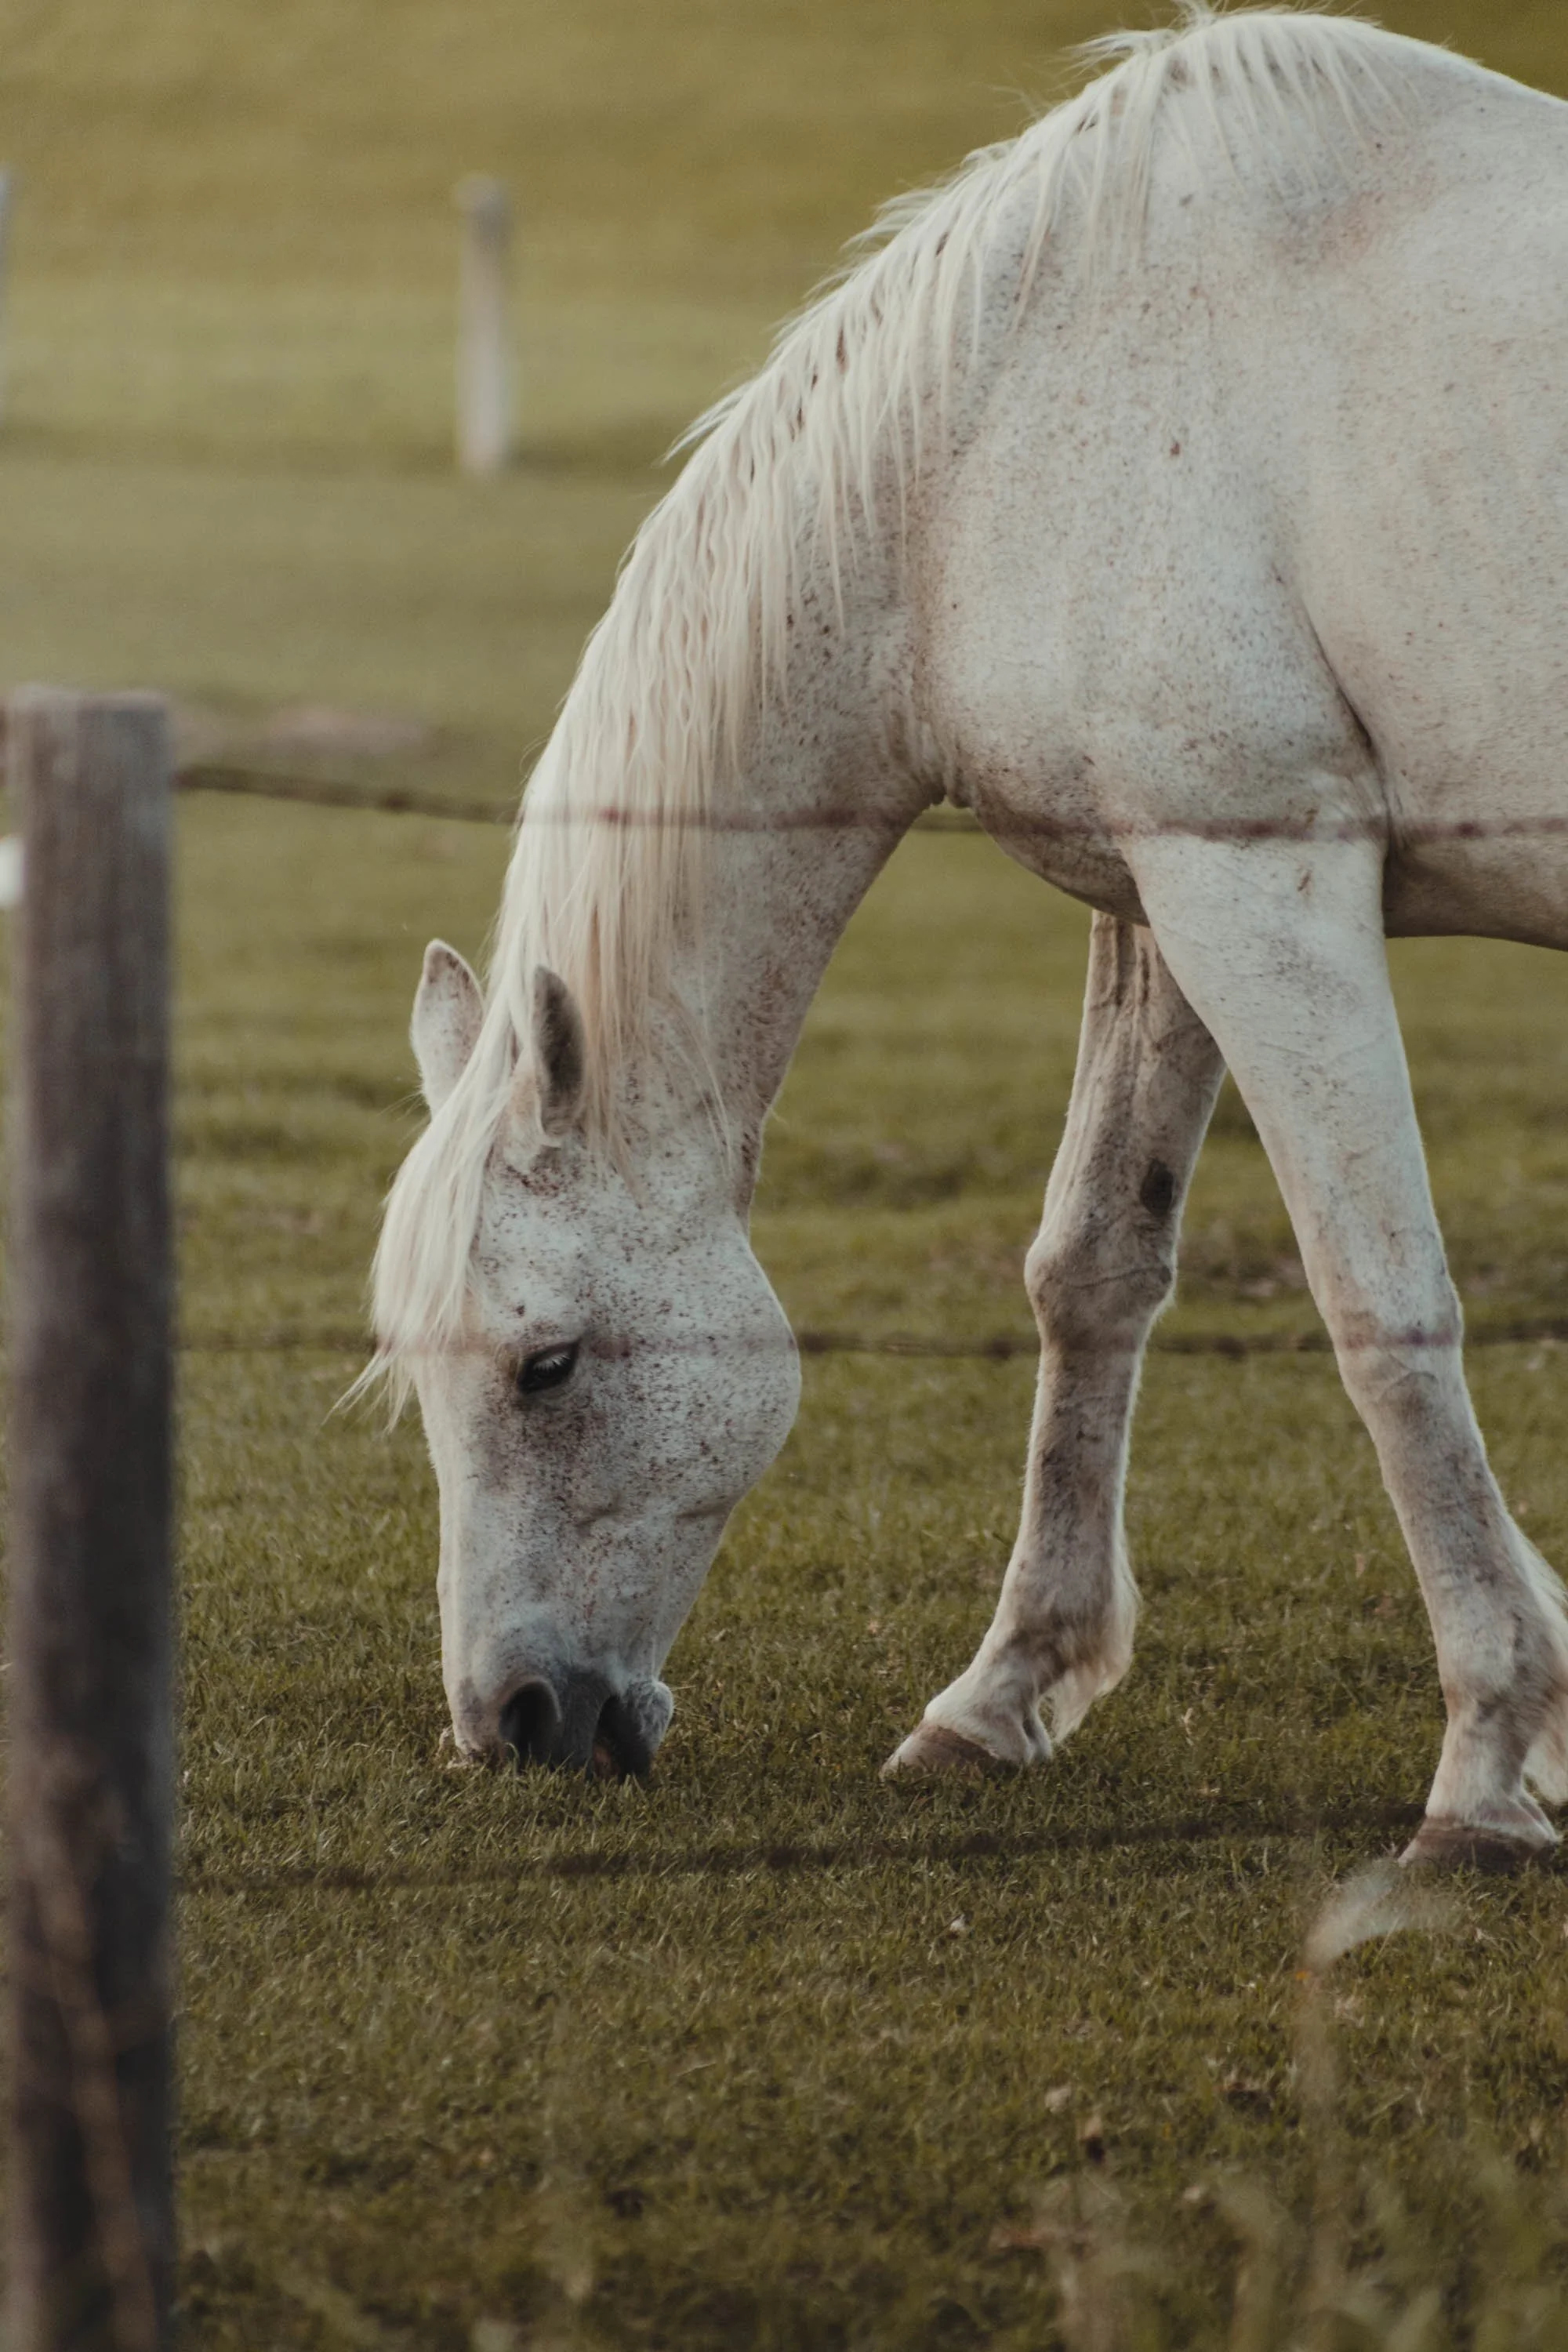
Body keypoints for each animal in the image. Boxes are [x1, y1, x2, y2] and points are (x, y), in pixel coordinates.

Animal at [367, 4, 1568, 1869]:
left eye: (544, 1366)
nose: (510, 1722)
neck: (1006, 407)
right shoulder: (1160, 898)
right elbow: (1091, 1271)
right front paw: (1001, 1699)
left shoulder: (1259, 880)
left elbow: (1382, 1308)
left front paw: (1490, 1769)